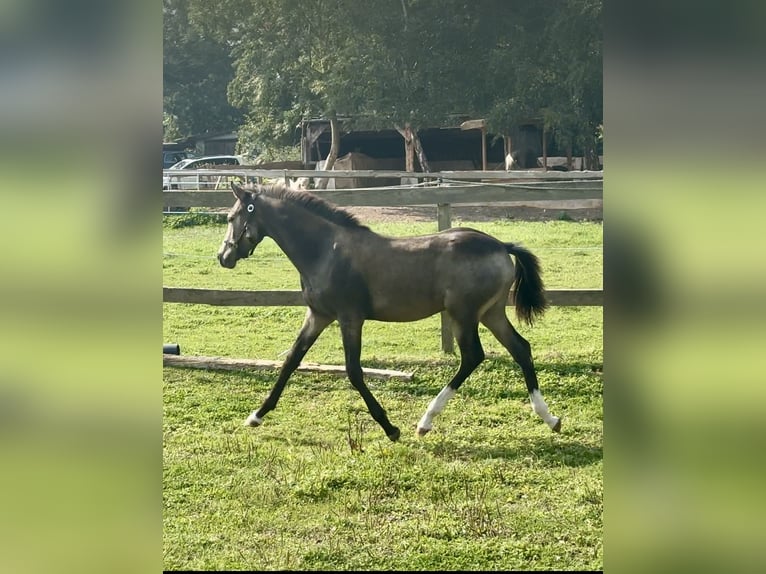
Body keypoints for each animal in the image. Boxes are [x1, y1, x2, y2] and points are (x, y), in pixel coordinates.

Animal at [219, 182, 560, 444]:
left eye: (232, 216)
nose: (223, 257)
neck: (325, 251)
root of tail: (501, 245)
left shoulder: (349, 318)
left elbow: (353, 371)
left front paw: (390, 428)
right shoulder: (318, 315)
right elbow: (291, 360)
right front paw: (256, 416)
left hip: (464, 316)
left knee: (473, 357)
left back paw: (425, 421)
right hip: (491, 314)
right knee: (520, 348)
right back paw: (550, 418)